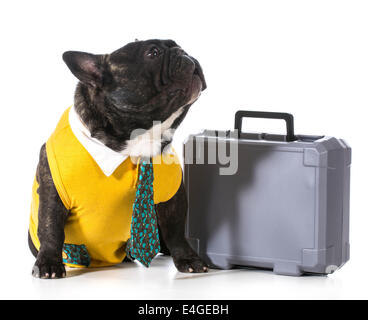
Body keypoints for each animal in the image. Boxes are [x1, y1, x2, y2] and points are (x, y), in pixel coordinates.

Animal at [28, 38, 207, 278]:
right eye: (153, 53)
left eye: (177, 45)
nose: (183, 52)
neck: (138, 140)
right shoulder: (53, 193)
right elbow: (50, 228)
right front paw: (48, 263)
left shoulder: (173, 197)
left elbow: (176, 230)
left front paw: (188, 259)